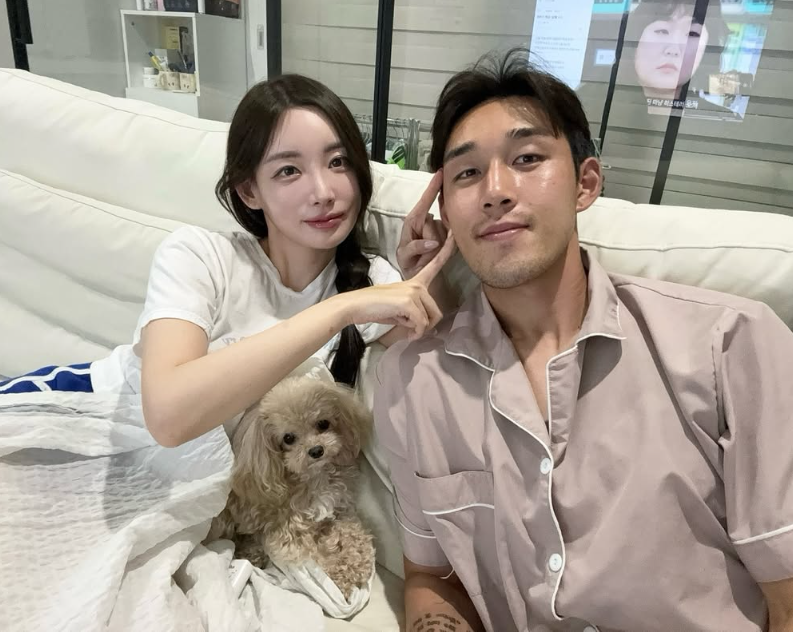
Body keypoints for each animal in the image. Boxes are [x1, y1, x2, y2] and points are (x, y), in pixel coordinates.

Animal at [211, 376, 376, 599]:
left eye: (323, 423)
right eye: (288, 438)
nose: (316, 450)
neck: (315, 478)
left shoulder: (340, 508)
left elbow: (353, 532)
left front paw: (358, 560)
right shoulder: (289, 534)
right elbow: (318, 560)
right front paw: (340, 579)